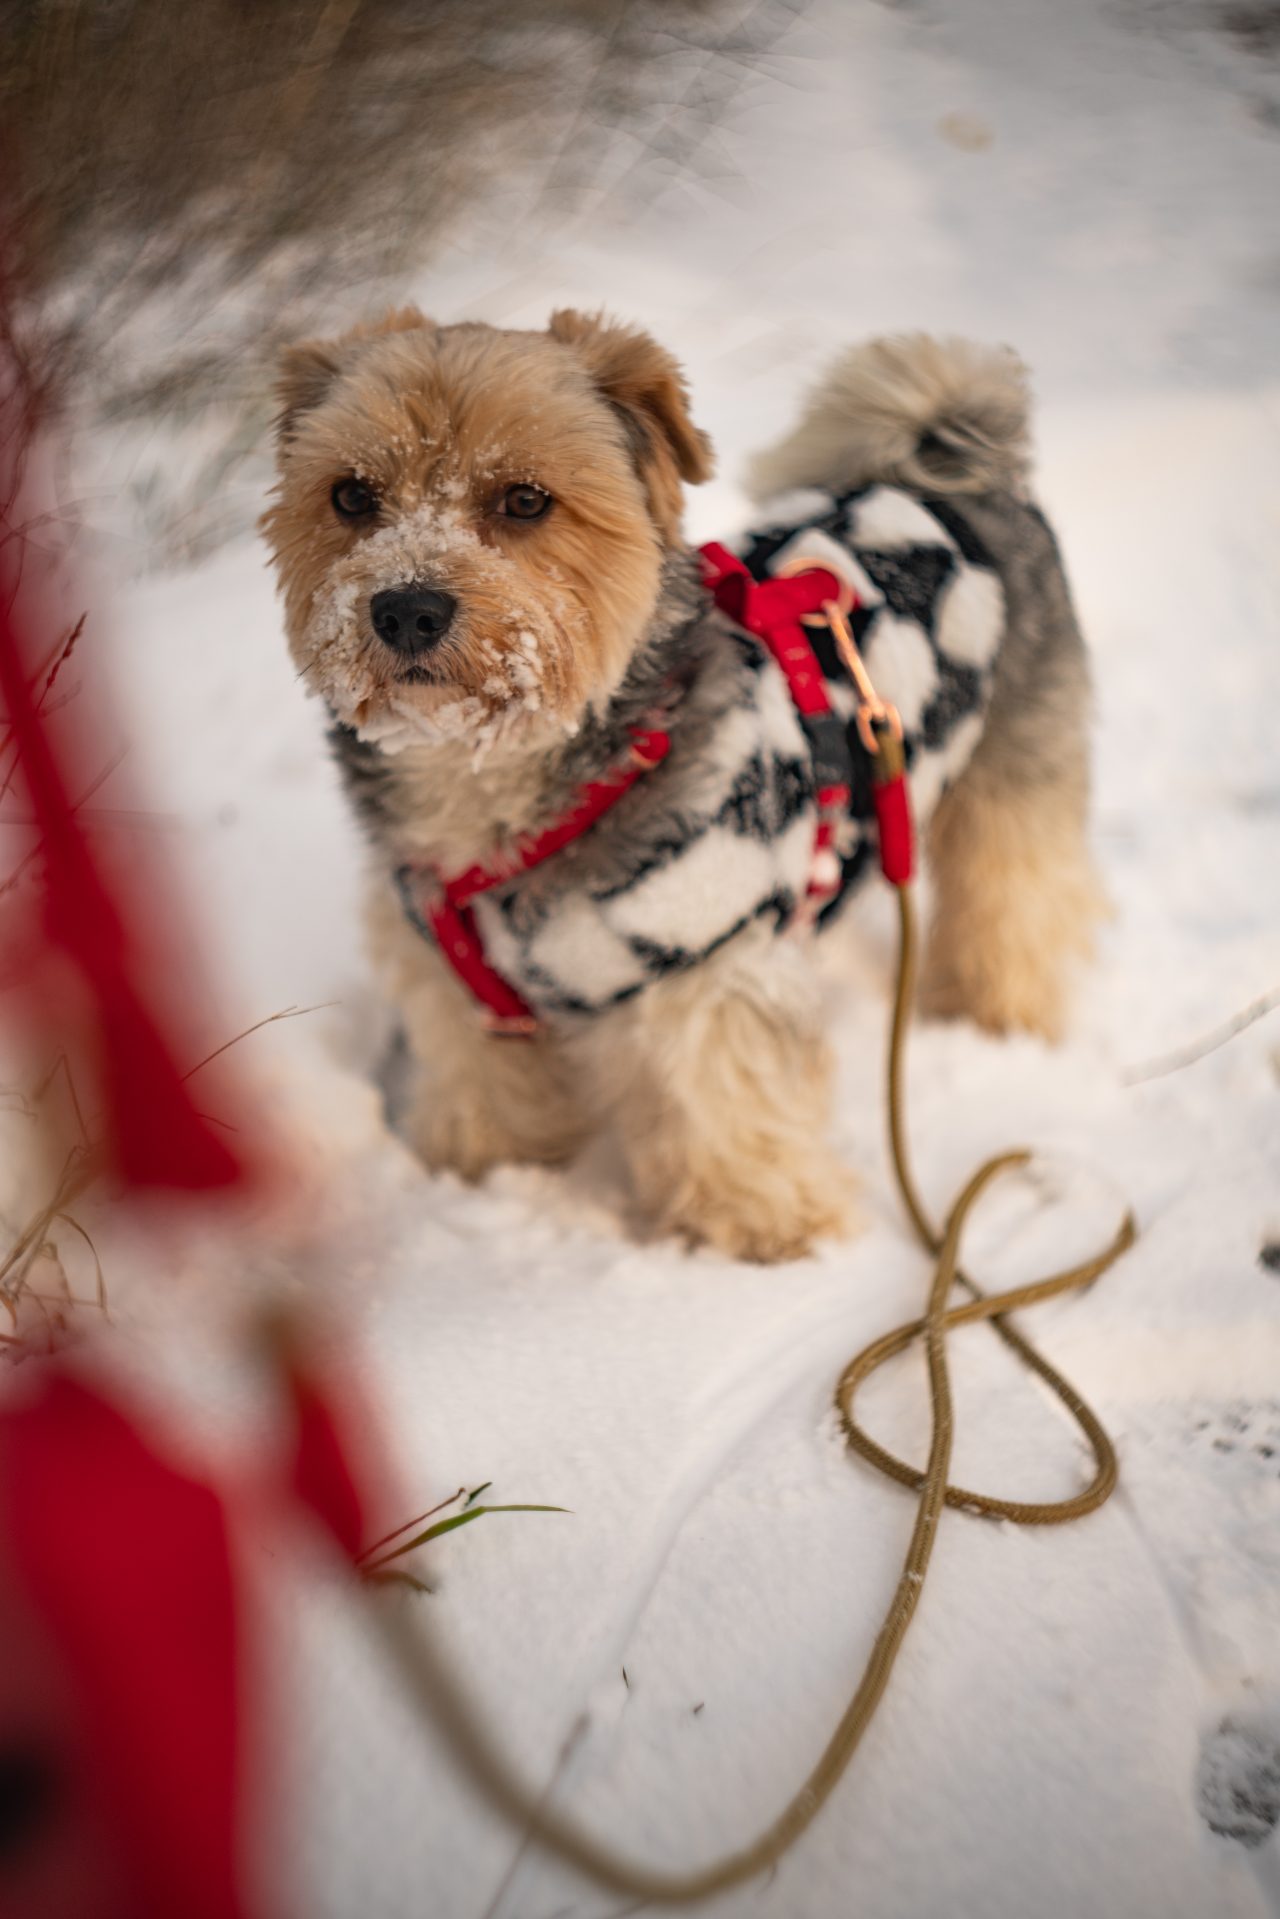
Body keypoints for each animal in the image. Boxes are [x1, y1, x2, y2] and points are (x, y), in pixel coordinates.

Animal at [260, 308, 1105, 1266]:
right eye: (351, 495)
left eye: (525, 499)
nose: (406, 608)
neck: (497, 782)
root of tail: (942, 469)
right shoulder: (448, 975)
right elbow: (485, 1078)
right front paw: (487, 1163)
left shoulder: (711, 966)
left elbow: (724, 1104)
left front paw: (766, 1228)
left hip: (1016, 771)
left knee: (1017, 900)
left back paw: (994, 1018)